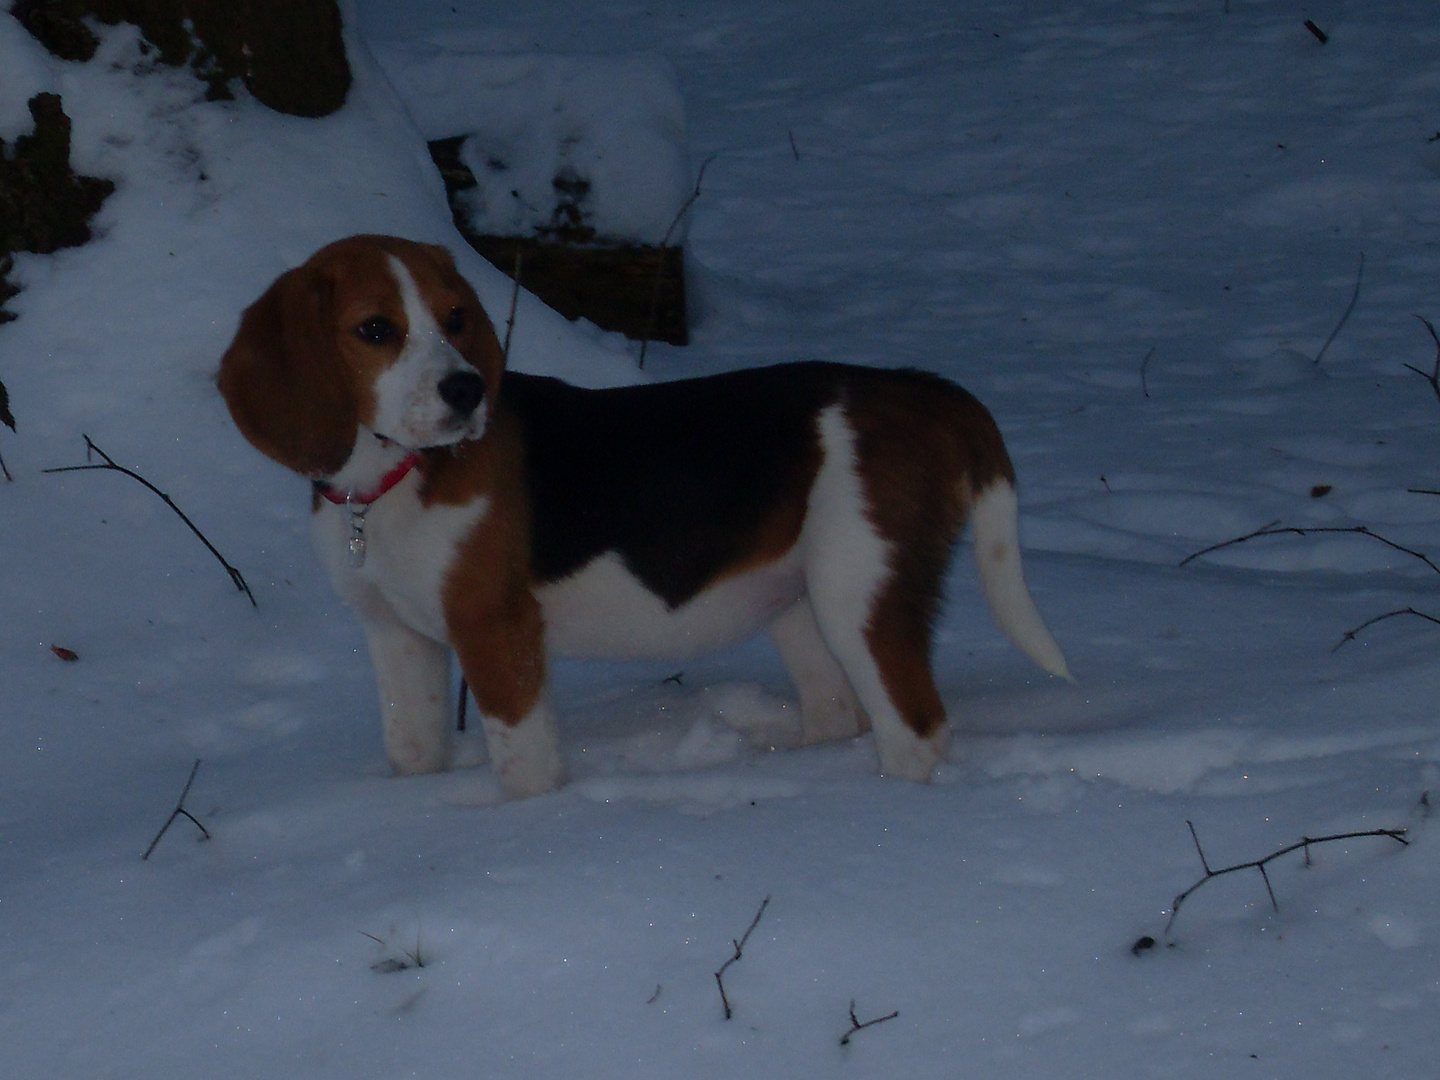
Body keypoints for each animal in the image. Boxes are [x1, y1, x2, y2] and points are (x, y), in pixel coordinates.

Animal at [216, 236, 1071, 806]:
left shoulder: (496, 632)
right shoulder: (397, 637)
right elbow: (411, 749)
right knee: (837, 712)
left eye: (456, 319)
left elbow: (523, 766)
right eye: (374, 329)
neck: (388, 480)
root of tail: (915, 387)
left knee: (916, 729)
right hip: (800, 604)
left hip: (858, 593)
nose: (467, 390)